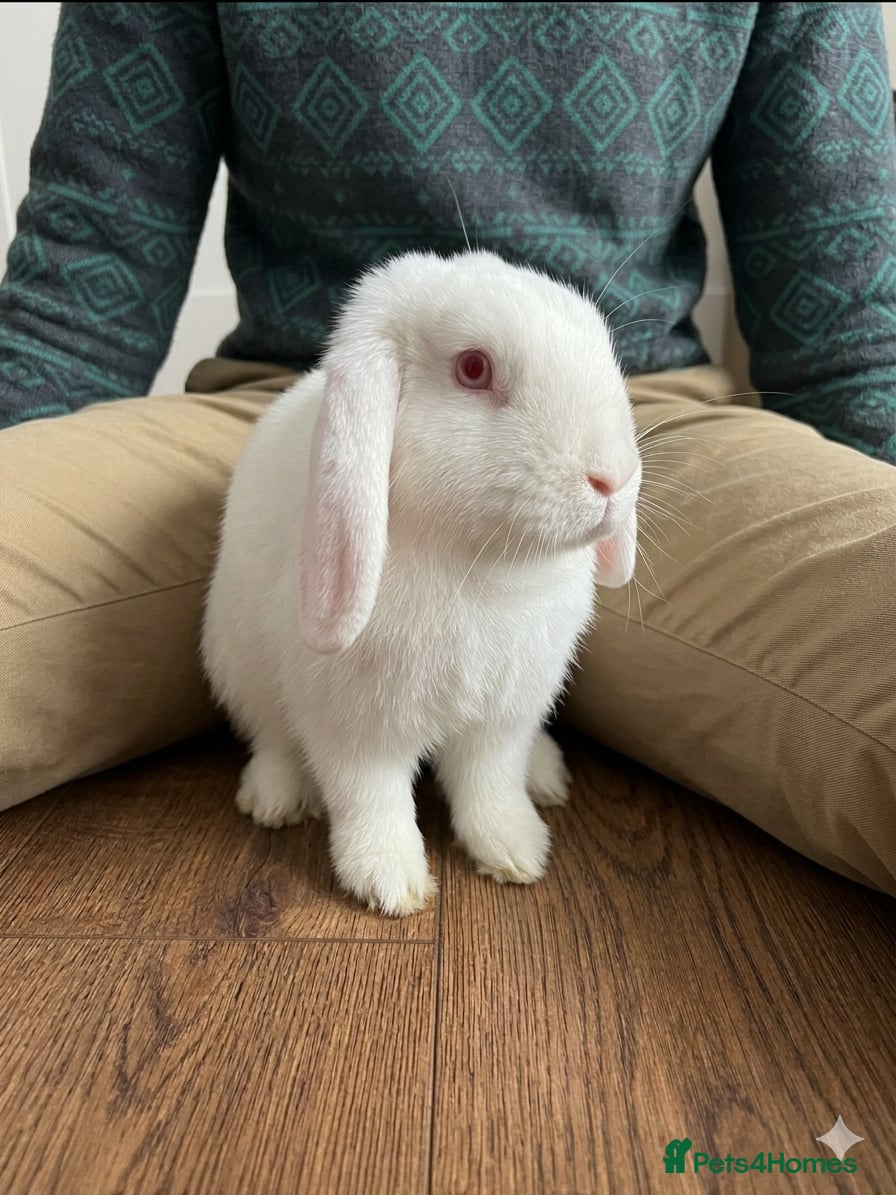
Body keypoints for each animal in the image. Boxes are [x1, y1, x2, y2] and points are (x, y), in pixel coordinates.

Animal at [201, 249, 641, 917]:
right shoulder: (355, 727)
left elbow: (491, 787)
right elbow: (371, 799)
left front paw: (516, 853)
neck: (483, 569)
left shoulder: (503, 717)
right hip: (242, 670)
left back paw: (546, 776)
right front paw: (390, 884)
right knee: (272, 740)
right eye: (473, 368)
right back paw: (274, 801)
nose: (611, 478)